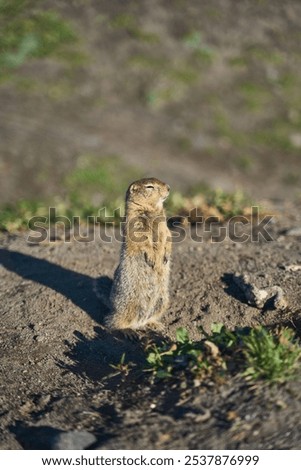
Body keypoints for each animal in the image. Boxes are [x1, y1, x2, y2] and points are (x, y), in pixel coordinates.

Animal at [105, 177, 171, 334]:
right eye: (149, 187)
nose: (169, 188)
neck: (152, 210)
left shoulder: (164, 224)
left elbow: (168, 235)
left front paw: (165, 256)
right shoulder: (136, 223)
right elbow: (143, 240)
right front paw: (152, 259)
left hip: (163, 300)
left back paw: (154, 324)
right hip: (128, 304)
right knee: (112, 322)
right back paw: (127, 331)